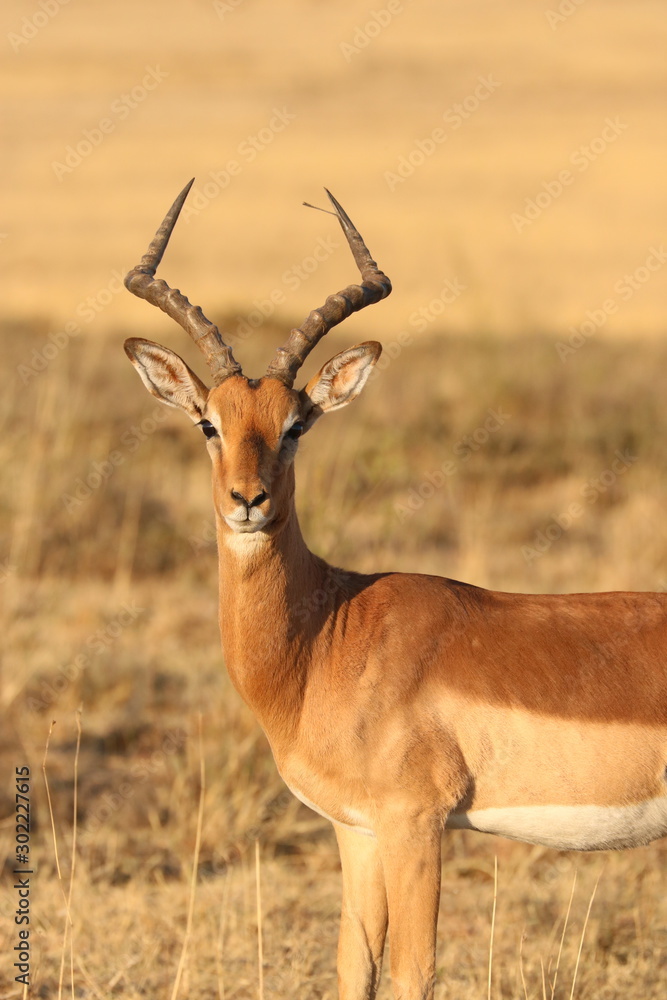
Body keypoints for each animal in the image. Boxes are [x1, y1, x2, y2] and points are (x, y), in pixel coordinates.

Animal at [123, 180, 667, 1000]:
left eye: (295, 426)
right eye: (208, 423)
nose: (248, 501)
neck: (327, 635)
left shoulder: (416, 825)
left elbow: (412, 973)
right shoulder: (356, 829)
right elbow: (355, 966)